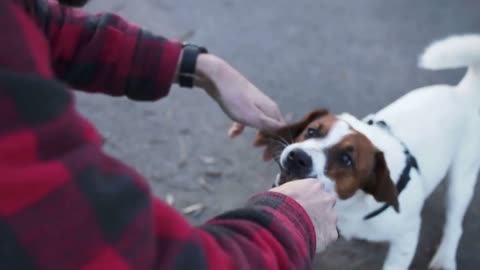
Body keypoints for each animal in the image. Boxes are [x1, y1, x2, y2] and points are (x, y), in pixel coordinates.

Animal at [256, 34, 480, 270]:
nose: (298, 157)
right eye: (311, 131)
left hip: (461, 181)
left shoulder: (407, 236)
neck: (348, 205)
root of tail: (461, 92)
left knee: (455, 224)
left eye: (346, 159)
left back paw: (445, 258)